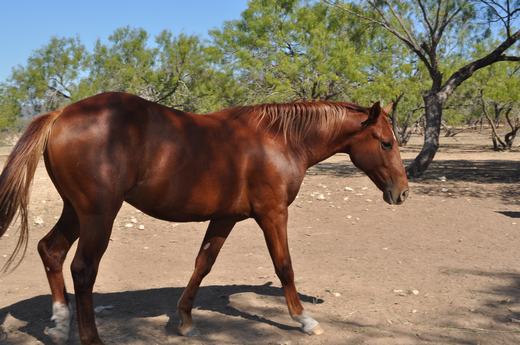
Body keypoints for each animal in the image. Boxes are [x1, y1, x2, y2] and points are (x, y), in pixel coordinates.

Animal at [0, 92, 406, 344]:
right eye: (386, 142)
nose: (402, 192)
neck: (278, 140)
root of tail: (61, 115)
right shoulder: (273, 214)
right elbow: (284, 266)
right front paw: (303, 319)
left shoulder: (225, 218)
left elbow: (203, 264)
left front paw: (185, 321)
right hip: (99, 216)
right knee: (82, 270)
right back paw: (91, 337)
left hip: (76, 211)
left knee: (51, 251)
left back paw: (59, 325)